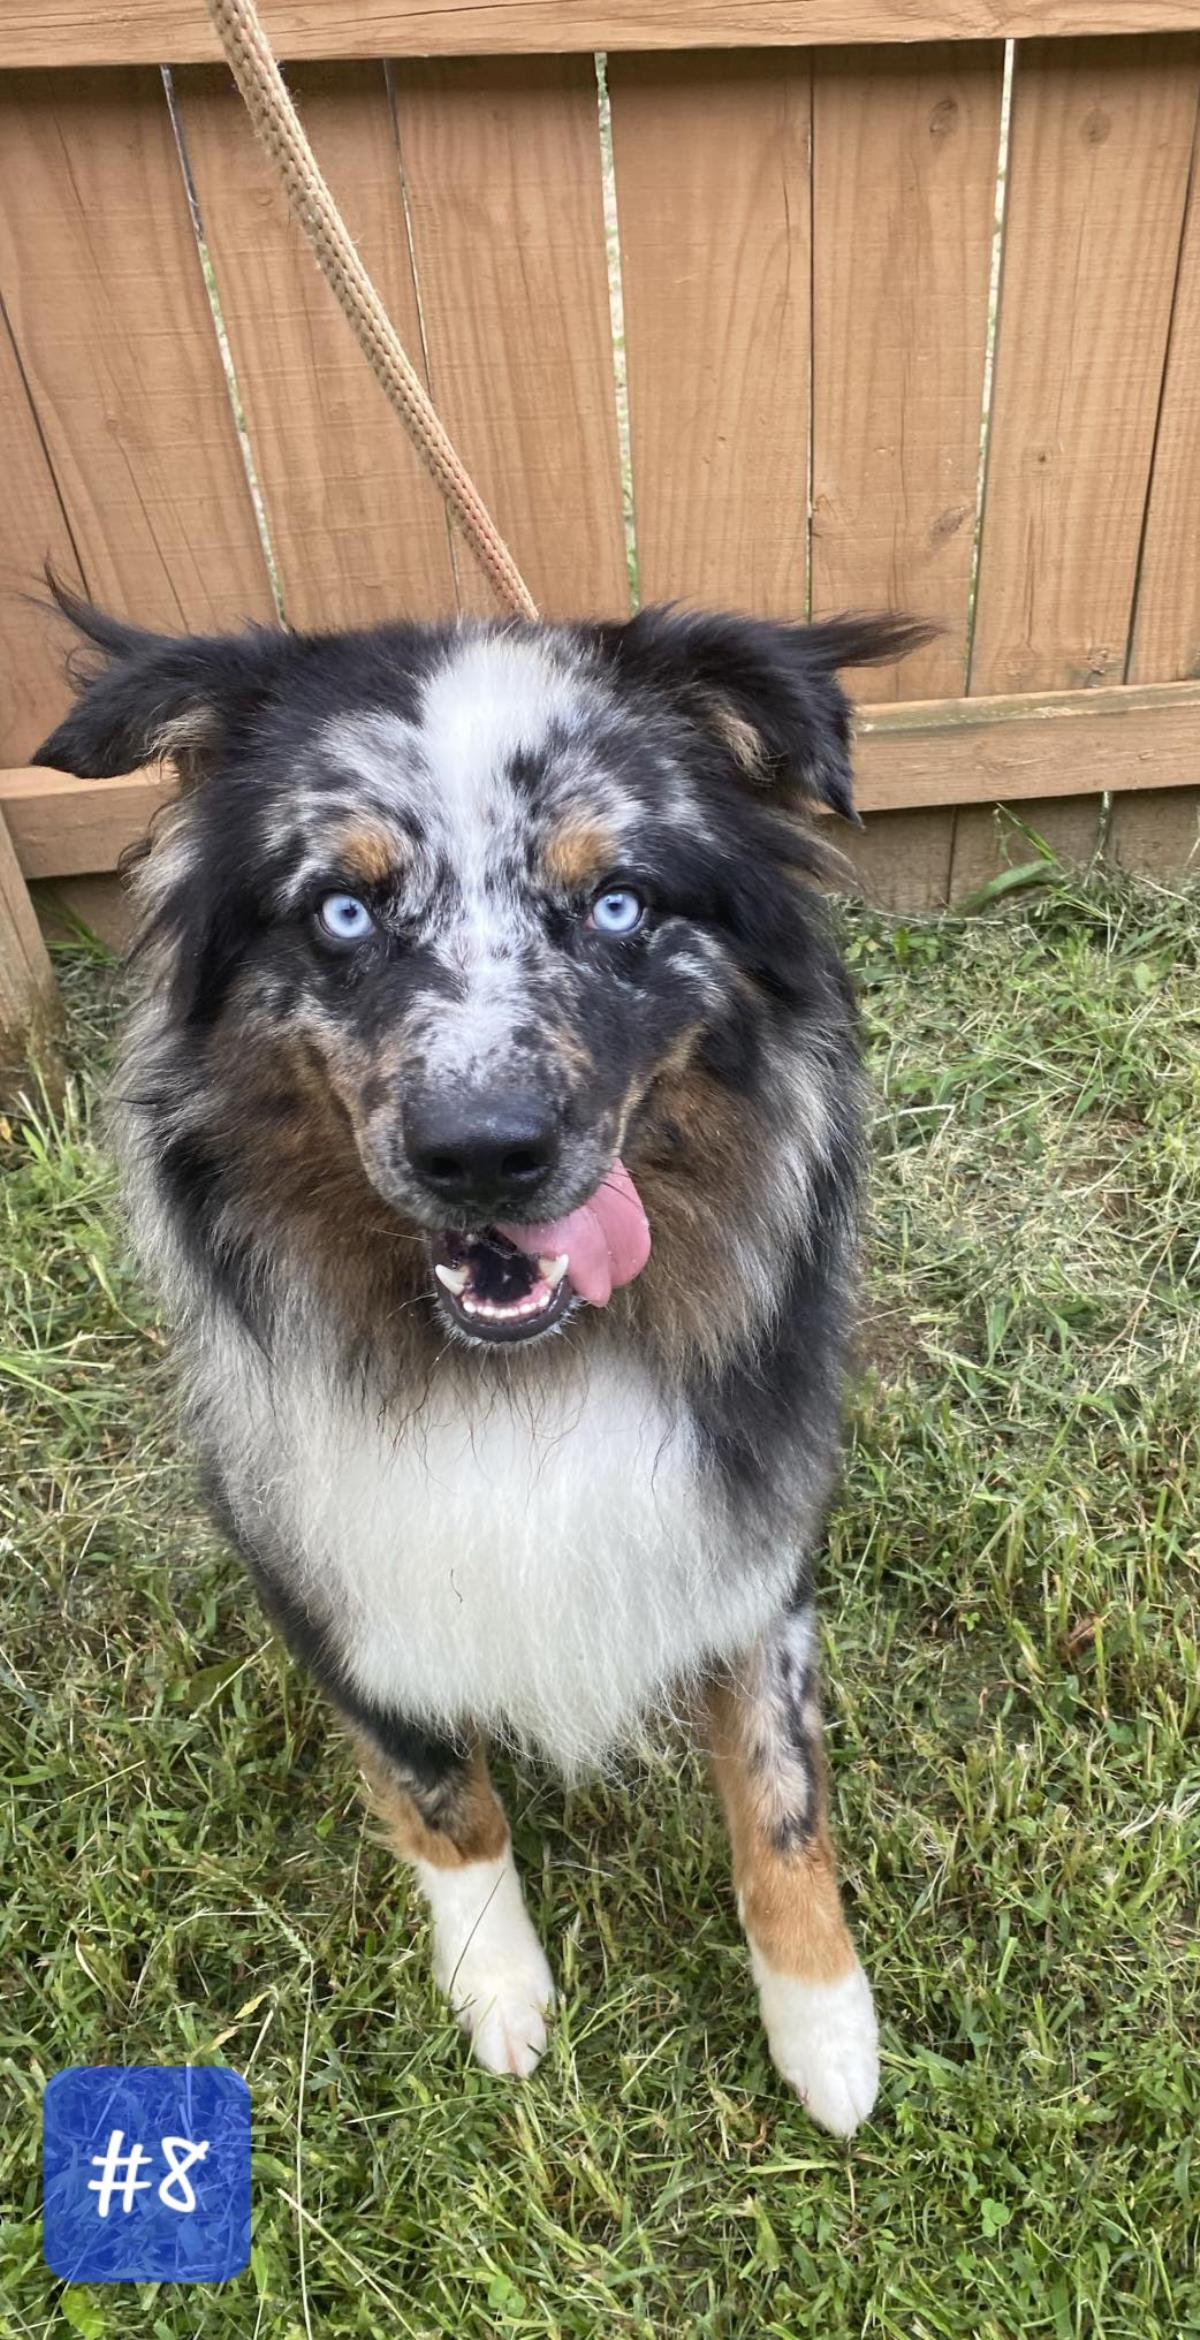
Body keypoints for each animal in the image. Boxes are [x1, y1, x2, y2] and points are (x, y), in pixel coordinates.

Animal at [32, 585, 921, 2143]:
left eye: (619, 902)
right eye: (342, 911)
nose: (484, 1156)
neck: (518, 1366)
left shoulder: (752, 1549)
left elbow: (782, 1792)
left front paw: (824, 2024)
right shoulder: (334, 1569)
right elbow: (442, 1792)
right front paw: (496, 1986)